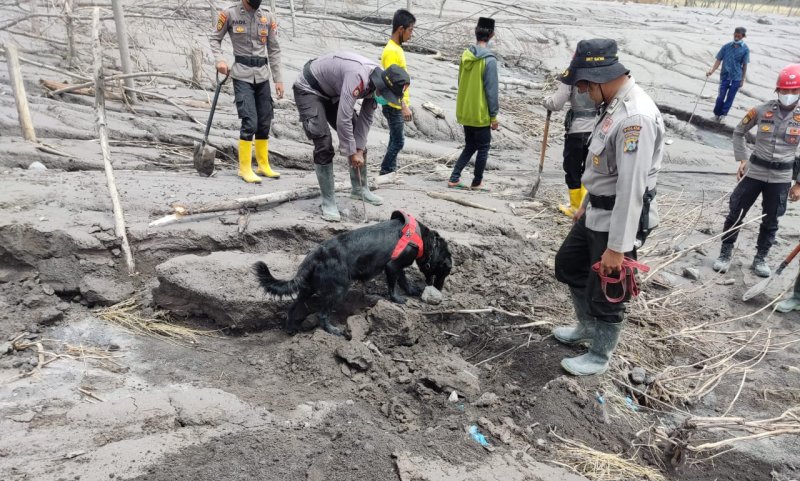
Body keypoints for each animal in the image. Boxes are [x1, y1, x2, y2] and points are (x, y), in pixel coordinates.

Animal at [253, 212, 450, 336]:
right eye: (446, 270)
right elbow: (393, 285)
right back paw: (333, 330)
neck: (421, 237)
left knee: (293, 307)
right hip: (338, 289)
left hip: (308, 288)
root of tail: (316, 254)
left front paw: (412, 291)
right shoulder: (392, 265)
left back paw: (290, 328)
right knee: (322, 314)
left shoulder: (398, 267)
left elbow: (404, 280)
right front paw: (397, 299)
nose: (440, 289)